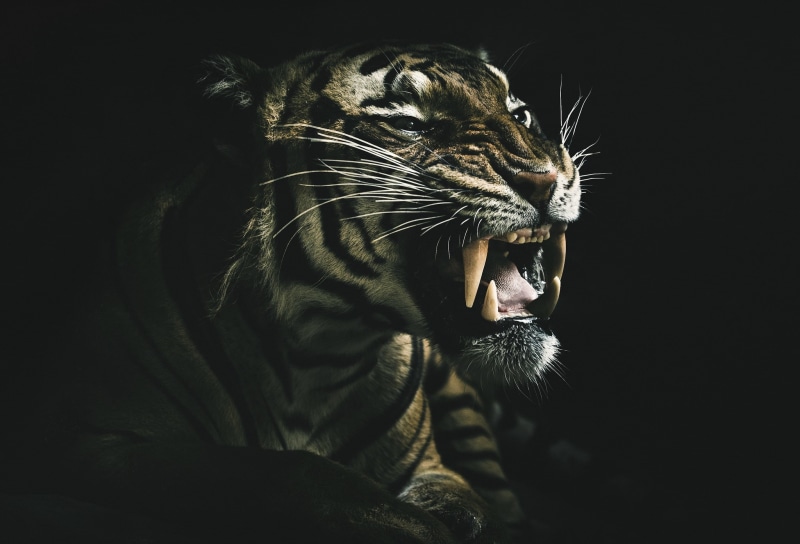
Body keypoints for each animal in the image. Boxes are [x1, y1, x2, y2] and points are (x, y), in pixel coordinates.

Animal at [1, 42, 584, 543]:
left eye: (521, 115)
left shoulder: (432, 466)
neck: (320, 350)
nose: (547, 178)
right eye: (407, 123)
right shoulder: (86, 442)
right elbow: (288, 471)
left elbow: (472, 507)